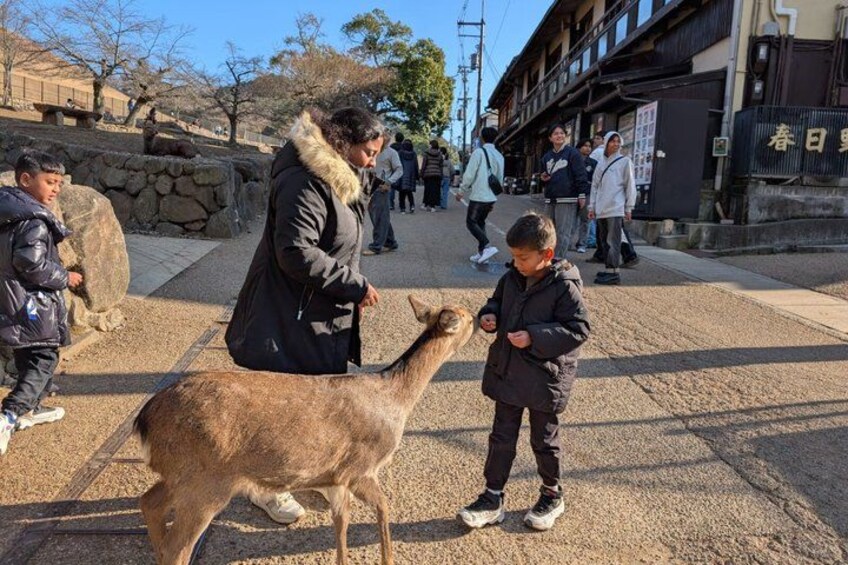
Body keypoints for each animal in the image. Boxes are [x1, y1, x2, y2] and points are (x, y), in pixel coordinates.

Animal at [134, 295, 477, 565]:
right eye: (467, 317)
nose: (481, 316)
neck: (395, 400)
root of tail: (145, 419)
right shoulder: (360, 467)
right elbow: (383, 507)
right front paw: (388, 559)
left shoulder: (337, 478)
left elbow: (341, 524)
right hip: (206, 480)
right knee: (177, 547)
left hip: (182, 473)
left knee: (149, 502)